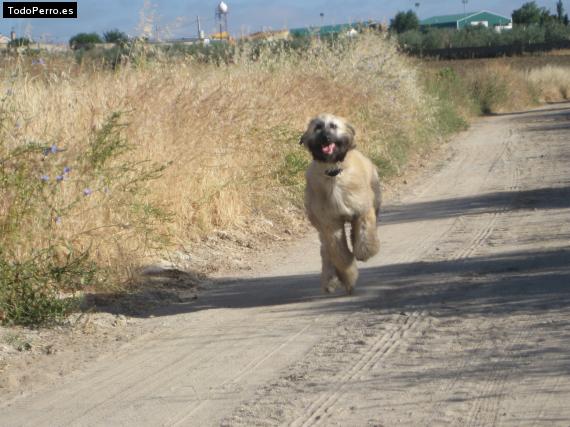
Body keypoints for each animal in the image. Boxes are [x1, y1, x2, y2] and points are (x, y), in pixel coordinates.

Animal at [300, 113, 380, 294]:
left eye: (333, 126)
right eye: (318, 128)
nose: (326, 138)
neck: (334, 173)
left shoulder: (362, 210)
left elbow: (364, 233)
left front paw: (364, 252)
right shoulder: (330, 224)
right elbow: (340, 254)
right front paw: (348, 277)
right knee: (326, 252)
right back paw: (331, 278)